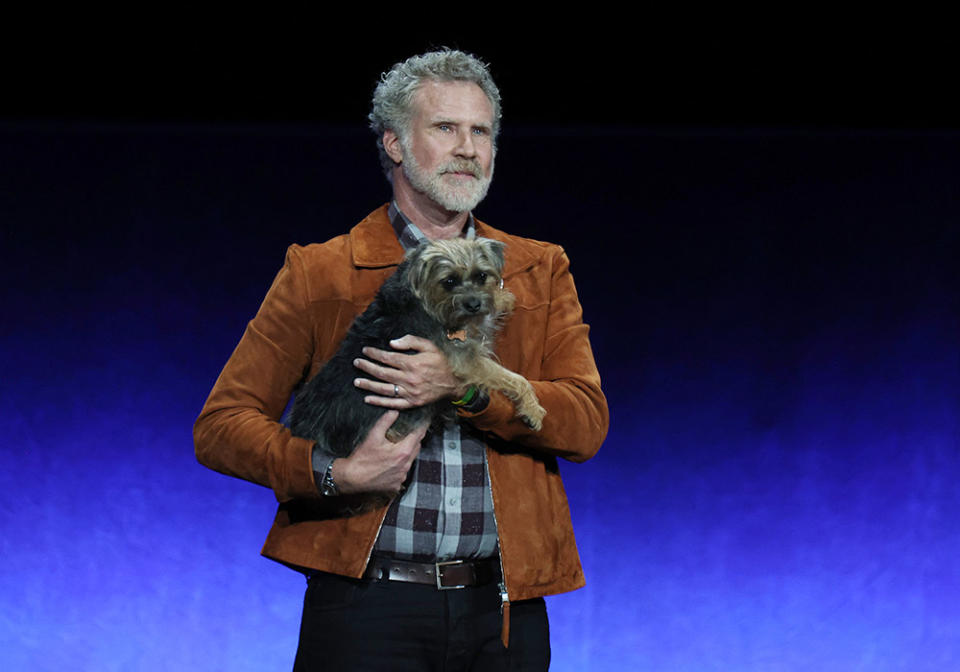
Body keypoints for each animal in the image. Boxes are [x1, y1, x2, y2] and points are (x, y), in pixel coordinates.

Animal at [290, 234, 548, 460]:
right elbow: (513, 378)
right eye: (449, 281)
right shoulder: (465, 358)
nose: (474, 304)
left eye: (482, 276)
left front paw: (501, 297)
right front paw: (532, 409)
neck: (423, 299)